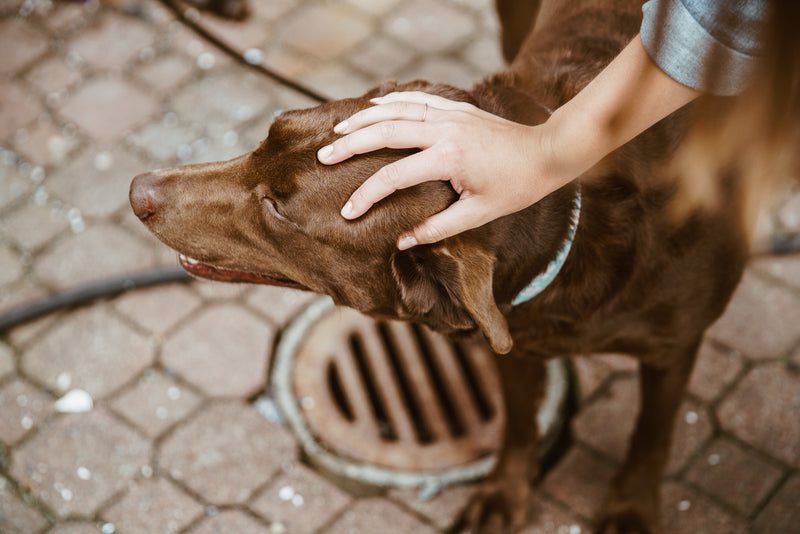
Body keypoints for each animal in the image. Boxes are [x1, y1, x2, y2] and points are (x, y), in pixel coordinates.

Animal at [130, 2, 752, 532]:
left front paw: (629, 509)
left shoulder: (675, 345)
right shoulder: (516, 339)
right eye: (269, 132)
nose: (138, 191)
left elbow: (652, 434)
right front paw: (504, 493)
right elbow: (519, 424)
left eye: (278, 210)